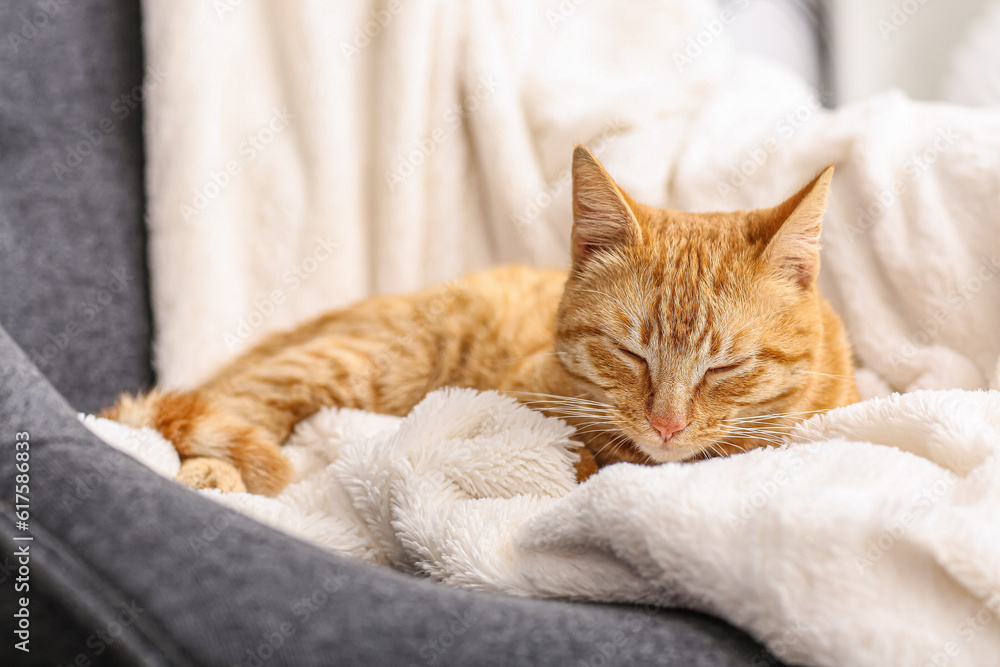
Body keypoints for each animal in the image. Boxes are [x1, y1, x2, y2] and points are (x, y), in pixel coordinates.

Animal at [103, 150, 860, 496]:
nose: (666, 424)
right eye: (627, 353)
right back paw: (213, 474)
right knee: (232, 403)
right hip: (359, 366)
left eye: (727, 365)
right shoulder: (518, 399)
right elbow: (574, 455)